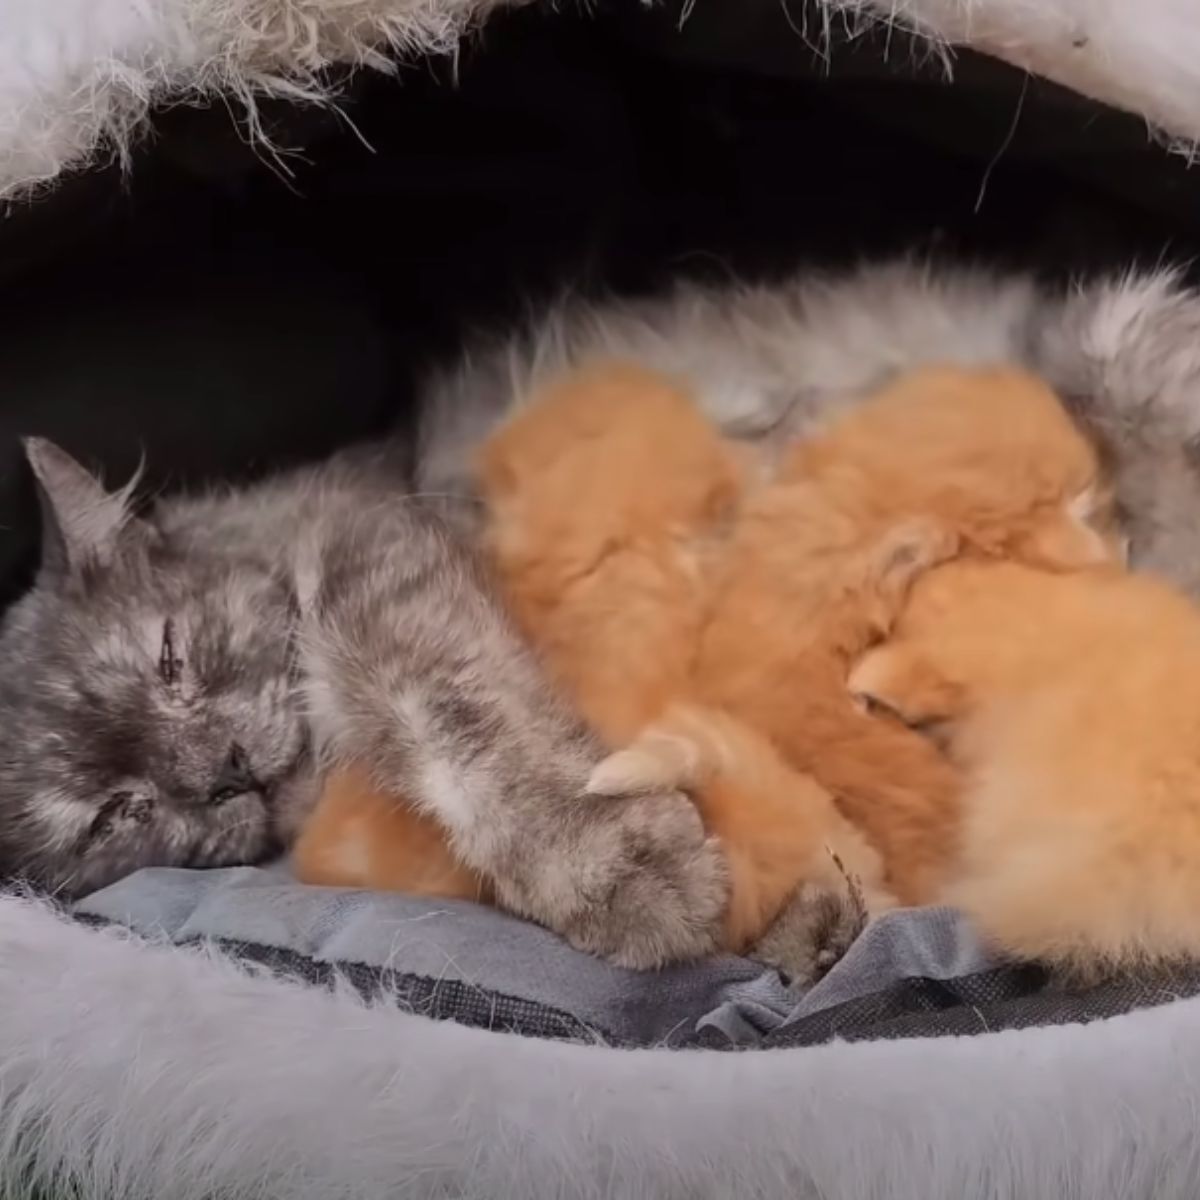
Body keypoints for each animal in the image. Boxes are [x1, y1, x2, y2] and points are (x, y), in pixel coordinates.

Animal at [0, 436, 724, 969]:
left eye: (171, 658)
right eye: (112, 816)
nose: (227, 769)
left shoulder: (369, 560)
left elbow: (469, 734)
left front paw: (617, 865)